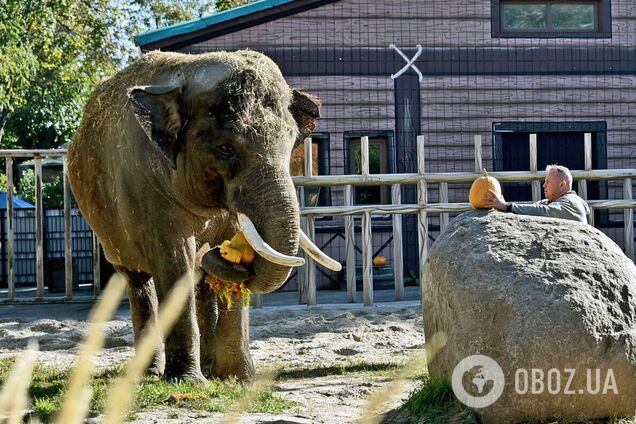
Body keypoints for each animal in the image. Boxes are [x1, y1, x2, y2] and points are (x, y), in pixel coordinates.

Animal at [67, 48, 340, 380]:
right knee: (139, 283)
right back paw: (150, 374)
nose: (217, 252)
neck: (188, 75)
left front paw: (238, 379)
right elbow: (174, 260)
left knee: (200, 284)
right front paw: (186, 380)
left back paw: (209, 370)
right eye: (225, 148)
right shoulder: (146, 187)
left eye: (291, 146)